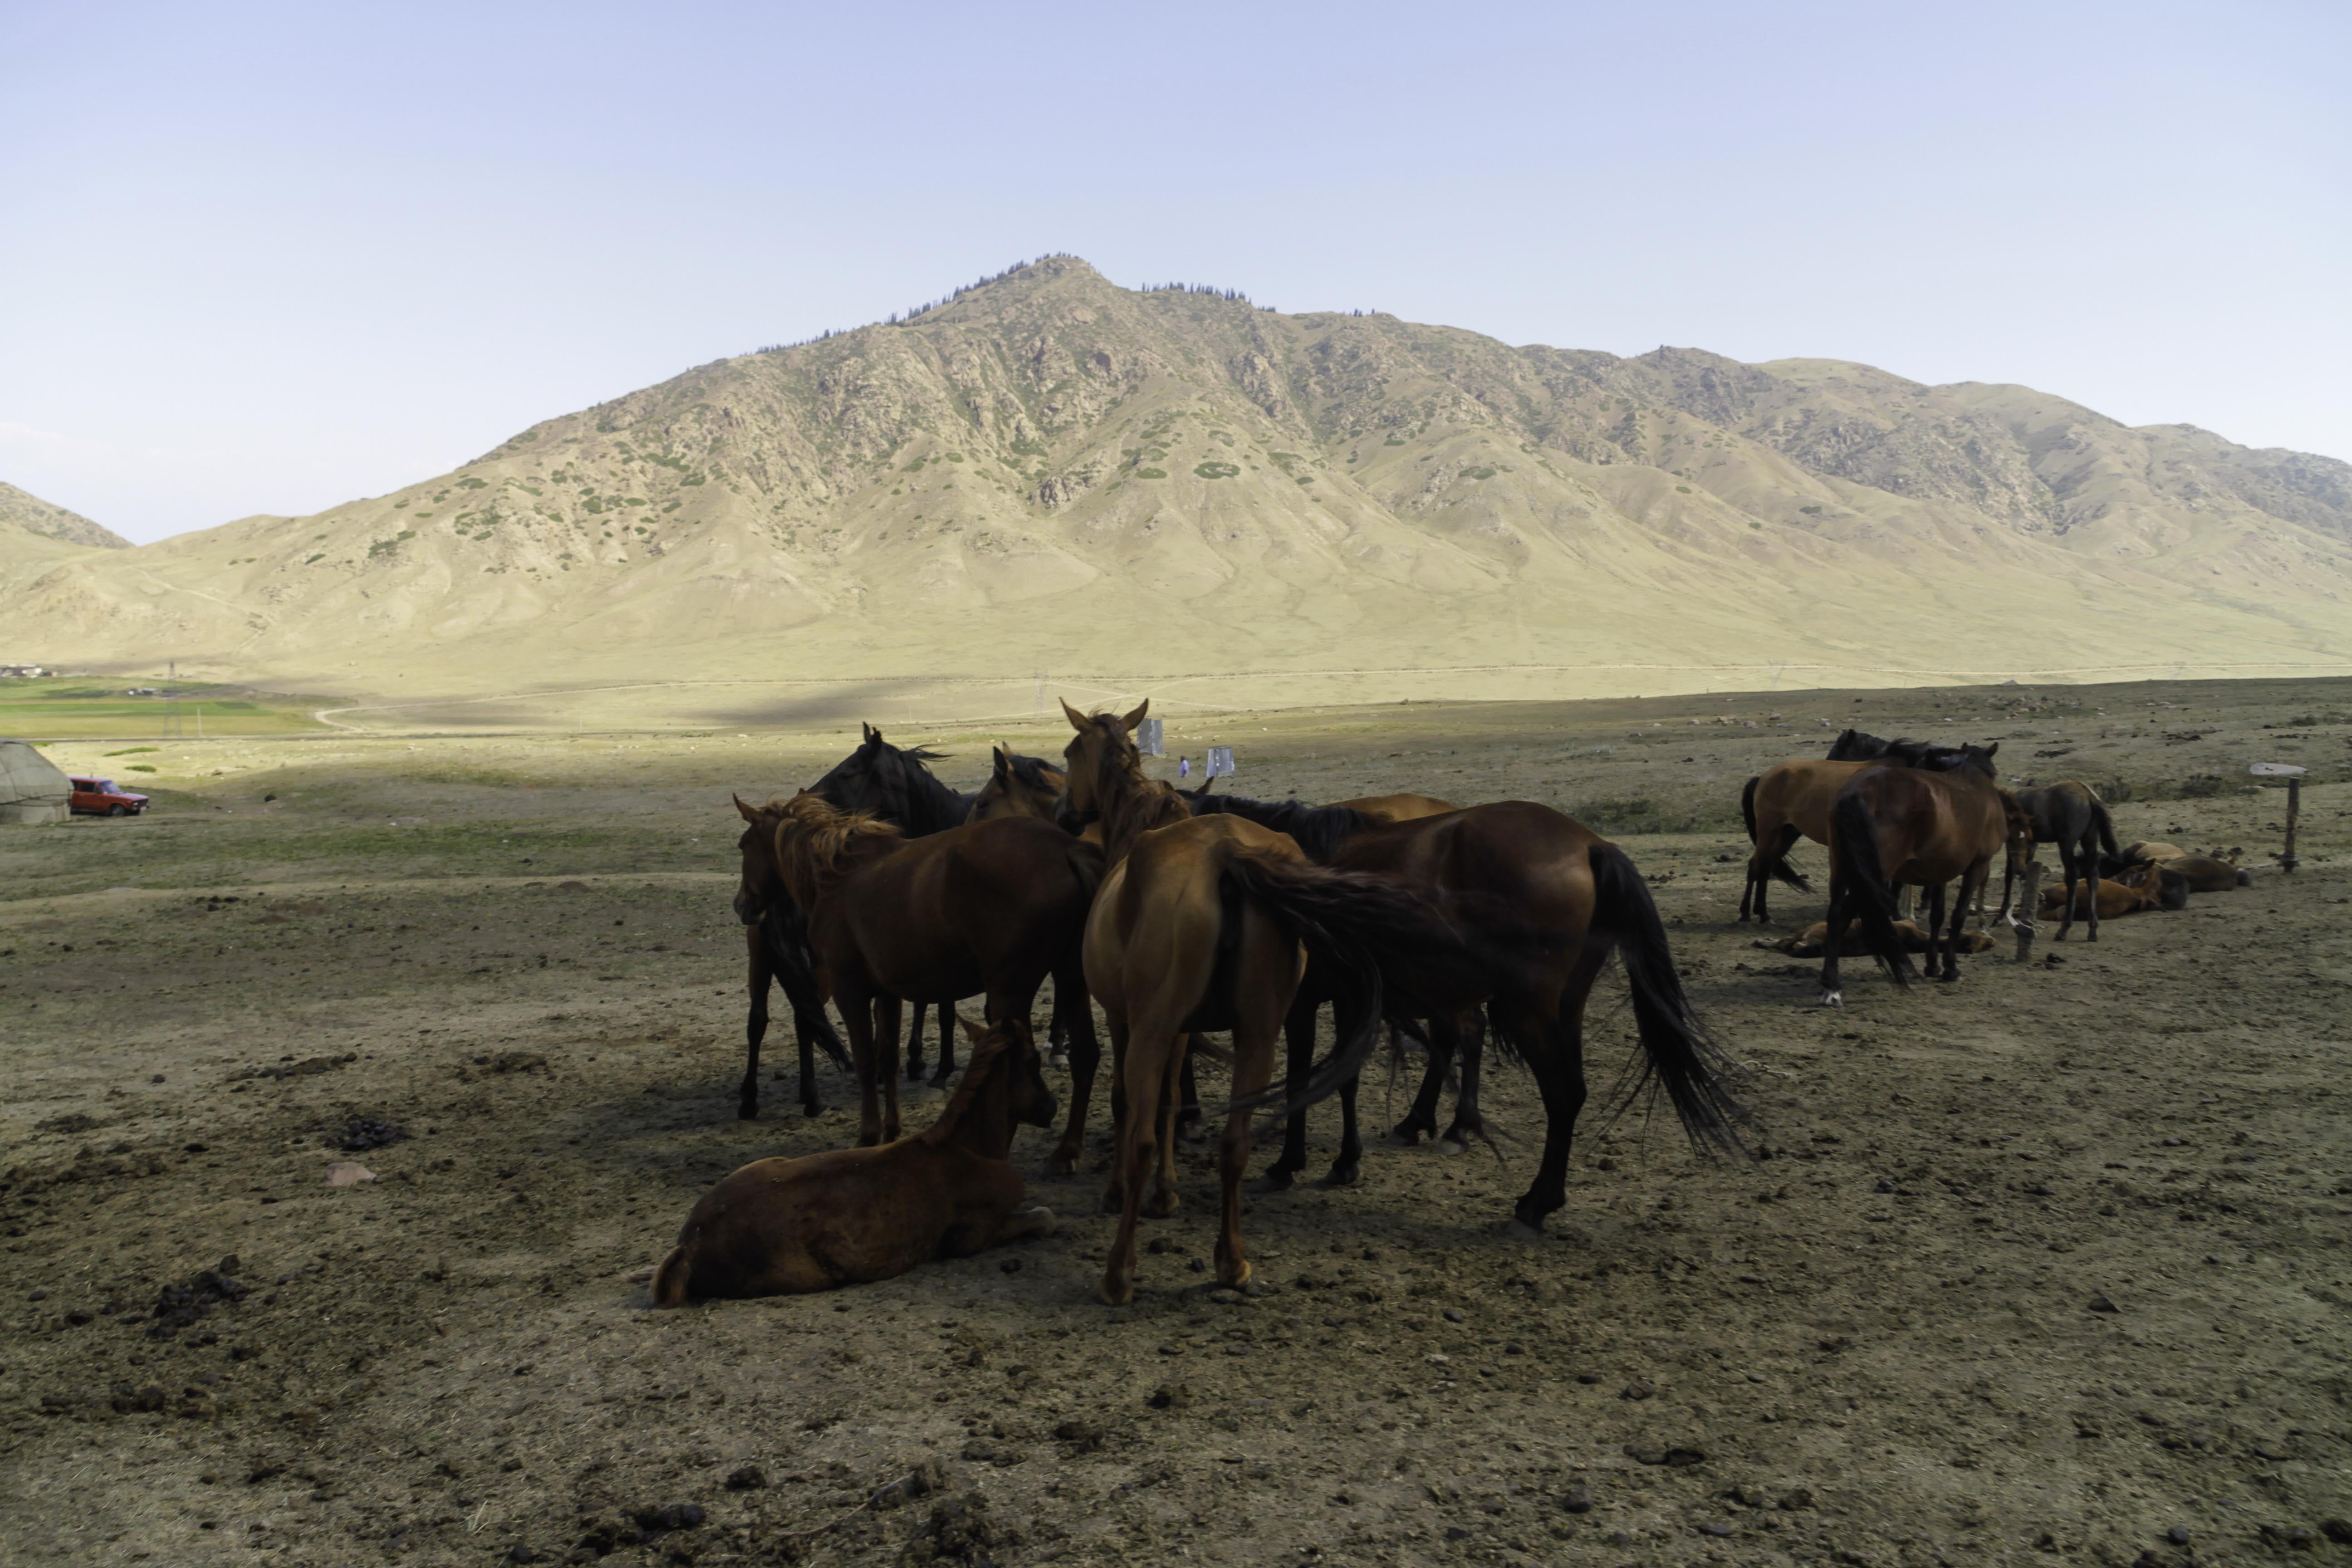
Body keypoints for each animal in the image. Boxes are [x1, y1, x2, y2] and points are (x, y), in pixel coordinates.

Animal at [652, 1016, 1059, 1302]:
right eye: (1034, 1061)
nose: (1052, 1108)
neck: (965, 1148)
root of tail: (690, 1245)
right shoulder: (971, 1237)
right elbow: (1045, 1217)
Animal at [733, 793, 1102, 1147]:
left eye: (742, 845)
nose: (740, 905)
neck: (838, 877)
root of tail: (1067, 848)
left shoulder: (848, 990)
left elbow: (865, 1061)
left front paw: (869, 1135)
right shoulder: (887, 994)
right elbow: (888, 1059)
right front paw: (892, 1129)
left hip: (1009, 992)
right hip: (1072, 981)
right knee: (1086, 1057)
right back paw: (1068, 1150)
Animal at [1060, 700, 1470, 1306]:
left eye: (1068, 753)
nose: (1064, 813)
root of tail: (1226, 857)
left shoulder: (1129, 1021)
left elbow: (1128, 1105)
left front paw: (1122, 1194)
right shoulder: (1186, 1031)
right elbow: (1170, 1102)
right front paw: (1168, 1193)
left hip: (1159, 1032)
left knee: (1140, 1139)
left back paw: (1119, 1274)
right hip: (1257, 1035)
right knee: (1236, 1144)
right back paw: (1233, 1263)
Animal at [1817, 752, 2023, 1005]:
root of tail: (1857, 791)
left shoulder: (1940, 873)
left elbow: (1937, 916)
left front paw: (1933, 966)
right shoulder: (1977, 868)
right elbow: (1958, 916)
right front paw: (1951, 969)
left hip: (1842, 870)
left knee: (1835, 915)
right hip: (1869, 877)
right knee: (1842, 917)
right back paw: (1832, 987)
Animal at [1998, 781, 2120, 942]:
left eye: (2012, 839)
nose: (2019, 868)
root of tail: (2088, 795)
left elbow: (2009, 875)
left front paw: (2002, 915)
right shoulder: (2032, 845)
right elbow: (2025, 876)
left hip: (2067, 844)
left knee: (2072, 877)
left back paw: (2064, 929)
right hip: (2090, 840)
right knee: (2093, 877)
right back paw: (2092, 929)